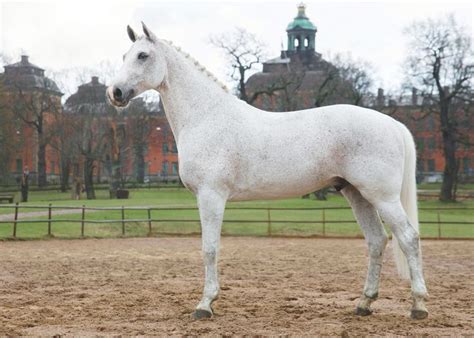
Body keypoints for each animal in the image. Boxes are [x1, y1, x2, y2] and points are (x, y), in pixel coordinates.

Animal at [108, 23, 430, 320]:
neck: (206, 117)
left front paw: (205, 304)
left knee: (408, 238)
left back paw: (418, 305)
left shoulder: (211, 196)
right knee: (377, 241)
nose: (115, 93)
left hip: (382, 197)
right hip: (357, 194)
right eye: (123, 55)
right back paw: (364, 303)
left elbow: (209, 249)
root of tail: (392, 123)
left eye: (143, 55)